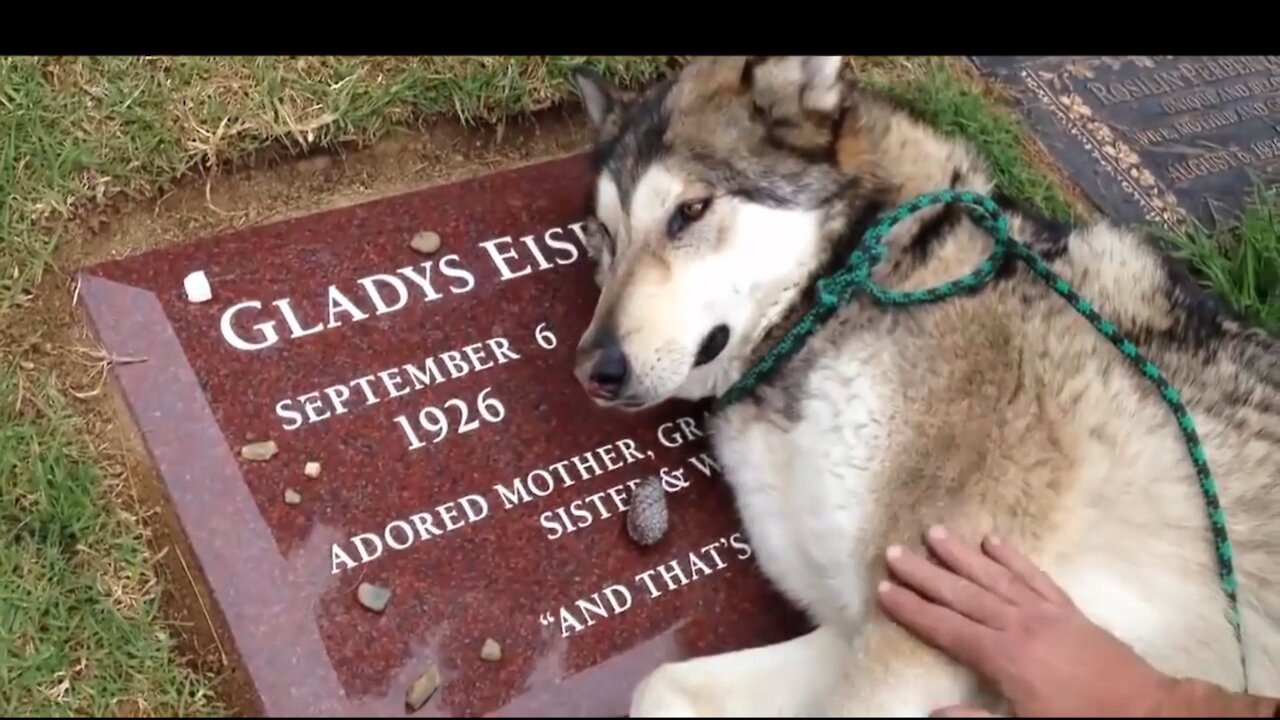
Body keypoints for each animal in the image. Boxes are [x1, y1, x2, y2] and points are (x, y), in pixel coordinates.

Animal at [565, 56, 1280, 712]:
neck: (853, 286)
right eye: (604, 235)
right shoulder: (855, 627)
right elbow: (659, 684)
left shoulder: (915, 642)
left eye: (690, 210)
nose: (592, 371)